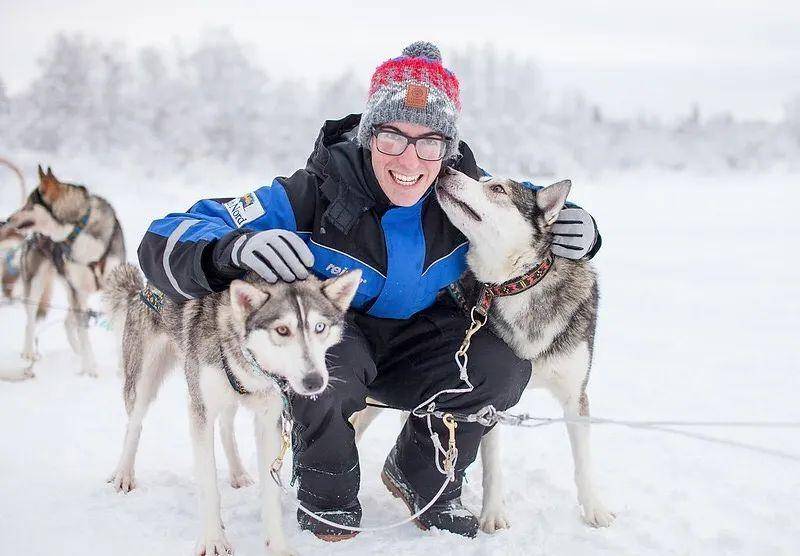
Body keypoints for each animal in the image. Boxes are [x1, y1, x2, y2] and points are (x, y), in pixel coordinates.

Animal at [1, 164, 125, 374]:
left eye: (28, 205)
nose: (8, 219)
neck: (78, 227)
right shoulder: (77, 289)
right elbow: (84, 333)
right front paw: (89, 369)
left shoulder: (112, 288)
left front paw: (121, 368)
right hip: (38, 285)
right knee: (31, 320)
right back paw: (29, 352)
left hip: (76, 291)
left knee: (68, 322)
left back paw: (79, 352)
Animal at [104, 264, 360, 556]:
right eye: (282, 330)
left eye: (320, 327)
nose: (314, 381)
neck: (247, 360)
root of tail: (143, 288)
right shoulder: (200, 411)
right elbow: (208, 485)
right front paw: (213, 539)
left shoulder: (269, 421)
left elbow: (271, 493)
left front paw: (278, 545)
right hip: (143, 381)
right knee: (134, 425)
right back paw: (124, 474)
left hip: (227, 401)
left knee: (226, 427)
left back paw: (238, 472)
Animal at [432, 167, 612, 532]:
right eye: (482, 179)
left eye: (497, 189)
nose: (446, 168)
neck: (520, 284)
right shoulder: (492, 407)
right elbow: (493, 464)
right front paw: (492, 513)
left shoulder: (576, 395)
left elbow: (584, 461)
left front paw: (594, 509)